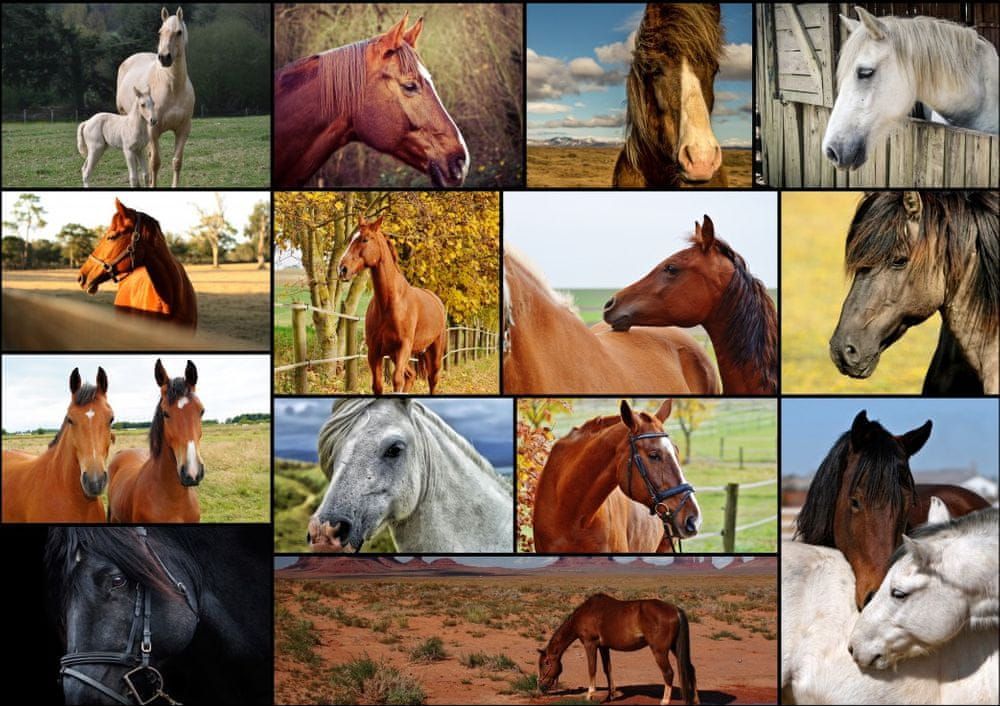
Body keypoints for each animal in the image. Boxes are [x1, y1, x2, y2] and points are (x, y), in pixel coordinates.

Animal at [116, 7, 195, 188]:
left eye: (179, 32)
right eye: (160, 32)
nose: (164, 57)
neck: (172, 87)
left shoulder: (183, 129)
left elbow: (177, 162)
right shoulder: (153, 130)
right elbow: (155, 163)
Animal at [337, 214, 447, 394]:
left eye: (365, 239)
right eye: (352, 239)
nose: (342, 269)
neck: (390, 303)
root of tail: (436, 300)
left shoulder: (403, 347)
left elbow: (396, 380)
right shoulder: (375, 351)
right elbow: (378, 385)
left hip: (434, 350)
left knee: (432, 379)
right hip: (395, 355)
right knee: (411, 375)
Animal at [538, 593, 697, 705]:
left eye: (545, 664)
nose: (541, 686)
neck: (586, 613)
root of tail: (675, 610)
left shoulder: (590, 644)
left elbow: (592, 669)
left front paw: (590, 695)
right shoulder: (604, 647)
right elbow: (607, 670)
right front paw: (610, 695)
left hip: (660, 651)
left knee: (668, 673)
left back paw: (664, 701)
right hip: (674, 647)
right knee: (690, 668)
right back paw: (695, 700)